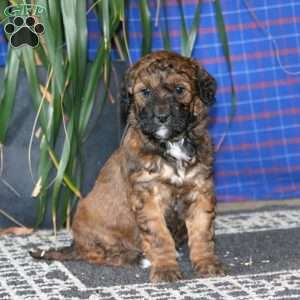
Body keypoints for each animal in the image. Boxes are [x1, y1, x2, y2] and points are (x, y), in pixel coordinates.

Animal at [30, 50, 224, 282]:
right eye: (145, 92)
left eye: (179, 89)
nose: (161, 117)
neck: (170, 144)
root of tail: (75, 245)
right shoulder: (147, 196)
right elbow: (159, 237)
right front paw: (166, 268)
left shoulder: (200, 189)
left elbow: (202, 231)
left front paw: (206, 262)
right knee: (97, 255)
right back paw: (136, 257)